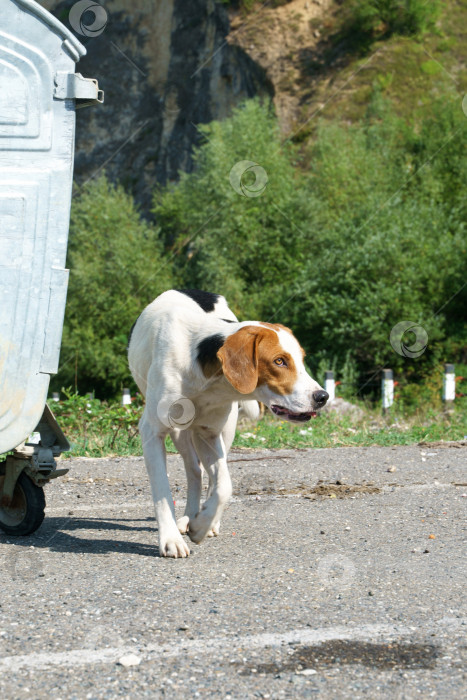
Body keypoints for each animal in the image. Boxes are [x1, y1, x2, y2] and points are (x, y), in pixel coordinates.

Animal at [128, 290, 330, 556]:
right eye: (279, 361)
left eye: (301, 359)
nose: (323, 397)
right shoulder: (152, 432)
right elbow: (162, 491)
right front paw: (171, 539)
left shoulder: (209, 434)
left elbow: (224, 487)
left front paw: (202, 525)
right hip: (180, 433)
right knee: (194, 472)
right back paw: (187, 517)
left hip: (224, 431)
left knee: (209, 477)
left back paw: (205, 520)